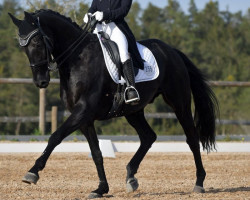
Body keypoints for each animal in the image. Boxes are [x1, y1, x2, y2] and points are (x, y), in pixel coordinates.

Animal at [8, 9, 218, 200]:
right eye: (22, 47)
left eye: (36, 42)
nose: (41, 81)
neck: (77, 59)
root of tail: (172, 52)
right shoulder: (85, 118)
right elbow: (96, 153)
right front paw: (101, 188)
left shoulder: (83, 111)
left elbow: (55, 137)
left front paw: (32, 172)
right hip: (133, 110)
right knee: (148, 136)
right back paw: (131, 177)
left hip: (179, 103)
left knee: (192, 138)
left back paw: (199, 183)